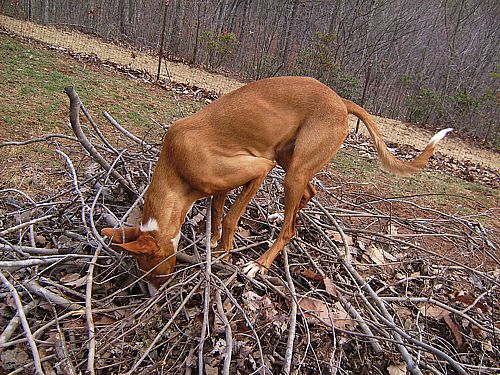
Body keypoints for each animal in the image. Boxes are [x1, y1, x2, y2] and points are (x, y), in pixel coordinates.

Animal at [101, 77, 454, 288]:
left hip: (288, 168)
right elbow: (216, 212)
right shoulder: (221, 186)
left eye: (152, 266)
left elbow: (230, 218)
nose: (155, 290)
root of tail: (340, 100)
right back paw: (279, 214)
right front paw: (213, 243)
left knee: (289, 231)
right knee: (308, 194)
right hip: (290, 161)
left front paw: (226, 254)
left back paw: (260, 264)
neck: (176, 166)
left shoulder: (260, 168)